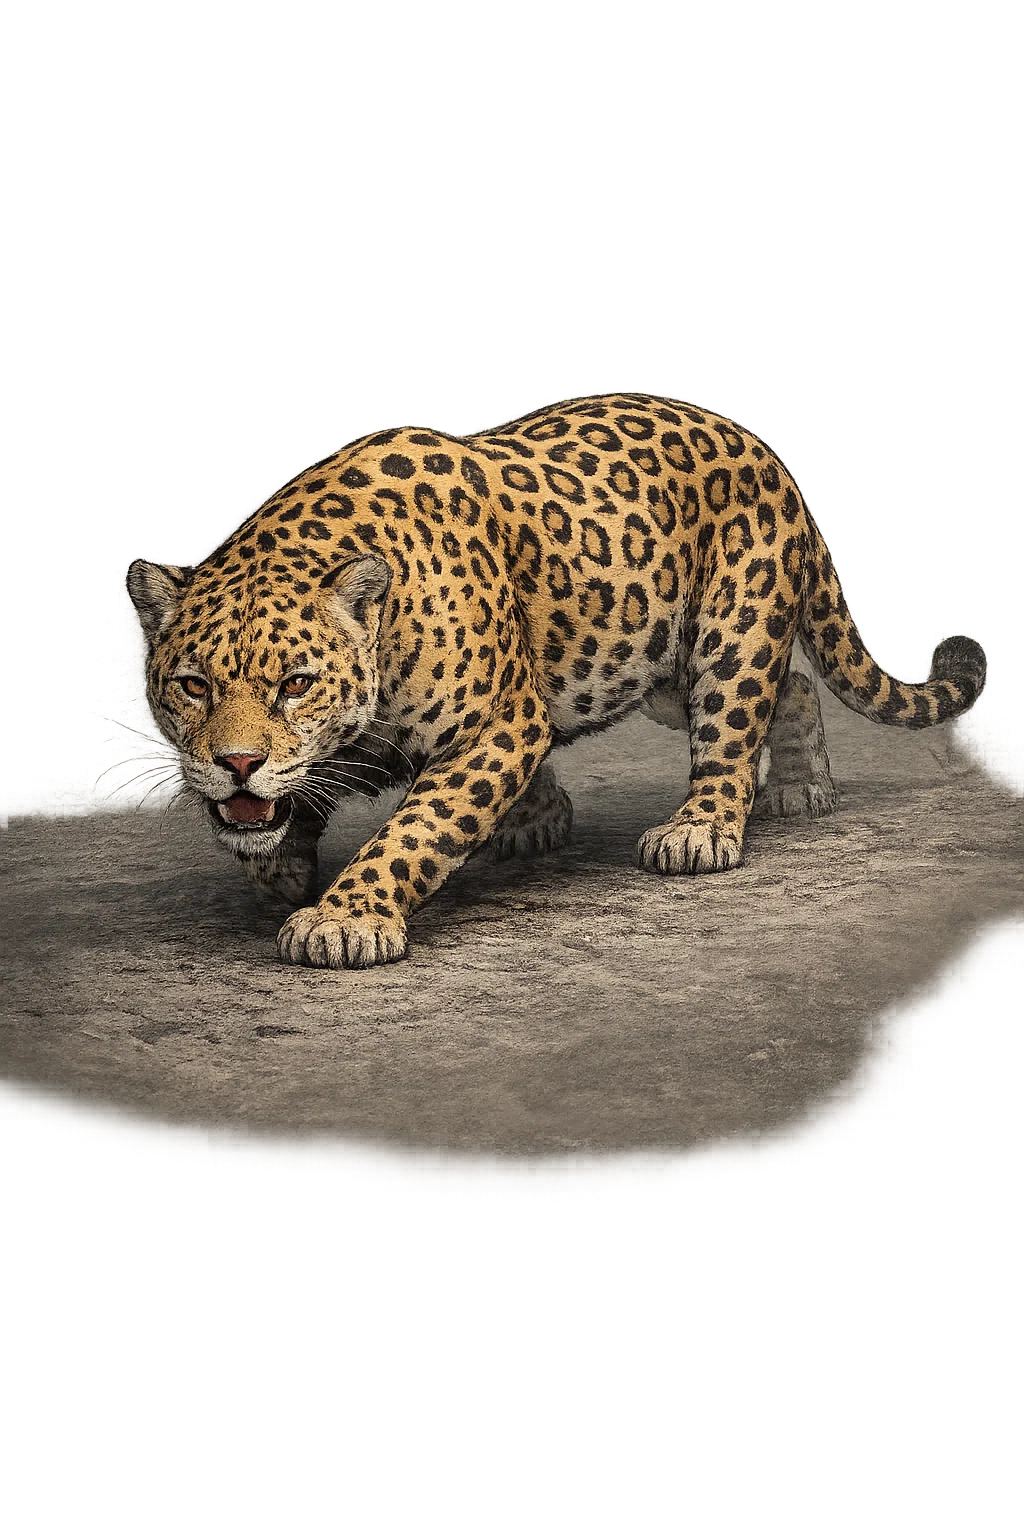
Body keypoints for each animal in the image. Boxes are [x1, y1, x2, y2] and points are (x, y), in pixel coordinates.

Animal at [126, 391, 988, 970]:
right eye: (195, 686)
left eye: (296, 684)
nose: (238, 763)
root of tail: (764, 450)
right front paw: (280, 863)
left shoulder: (495, 725)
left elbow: (415, 830)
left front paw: (345, 919)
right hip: (657, 658)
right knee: (796, 689)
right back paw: (797, 787)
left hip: (730, 627)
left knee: (735, 721)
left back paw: (703, 828)